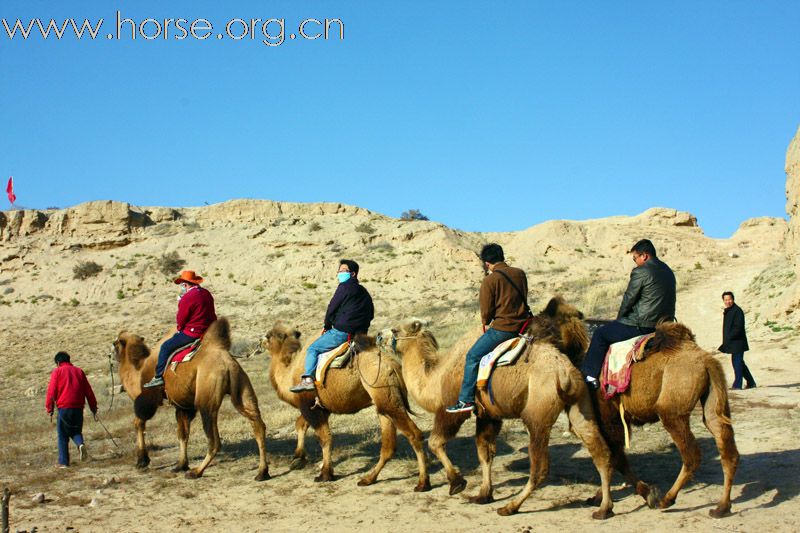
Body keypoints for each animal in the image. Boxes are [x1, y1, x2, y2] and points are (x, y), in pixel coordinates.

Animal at [111, 318, 272, 480]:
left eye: (115, 343)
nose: (111, 355)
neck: (137, 372)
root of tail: (228, 362)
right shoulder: (183, 405)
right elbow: (183, 434)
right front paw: (180, 465)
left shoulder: (148, 399)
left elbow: (139, 422)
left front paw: (142, 461)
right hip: (242, 388)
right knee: (258, 425)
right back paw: (262, 472)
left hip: (206, 400)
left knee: (214, 440)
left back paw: (196, 472)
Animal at [260, 320, 432, 490]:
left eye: (269, 335)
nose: (260, 340)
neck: (289, 373)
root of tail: (392, 364)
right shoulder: (321, 407)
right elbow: (301, 425)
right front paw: (298, 458)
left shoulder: (309, 404)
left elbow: (324, 438)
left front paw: (324, 474)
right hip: (384, 401)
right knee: (389, 445)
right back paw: (368, 479)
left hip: (386, 396)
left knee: (414, 434)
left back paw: (422, 483)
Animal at [380, 300, 612, 520]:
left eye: (395, 330)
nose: (379, 336)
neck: (436, 377)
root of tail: (566, 374)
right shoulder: (488, 414)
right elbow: (485, 453)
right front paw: (483, 494)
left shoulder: (452, 408)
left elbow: (436, 442)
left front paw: (457, 483)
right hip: (580, 407)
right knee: (600, 452)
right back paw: (603, 507)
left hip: (537, 416)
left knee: (540, 467)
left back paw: (510, 507)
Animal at [580, 318, 740, 516]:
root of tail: (707, 361)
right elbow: (615, 457)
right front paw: (600, 498)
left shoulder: (608, 415)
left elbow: (614, 457)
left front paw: (607, 505)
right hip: (712, 403)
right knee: (727, 448)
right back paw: (722, 507)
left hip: (671, 412)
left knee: (692, 455)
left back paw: (667, 500)